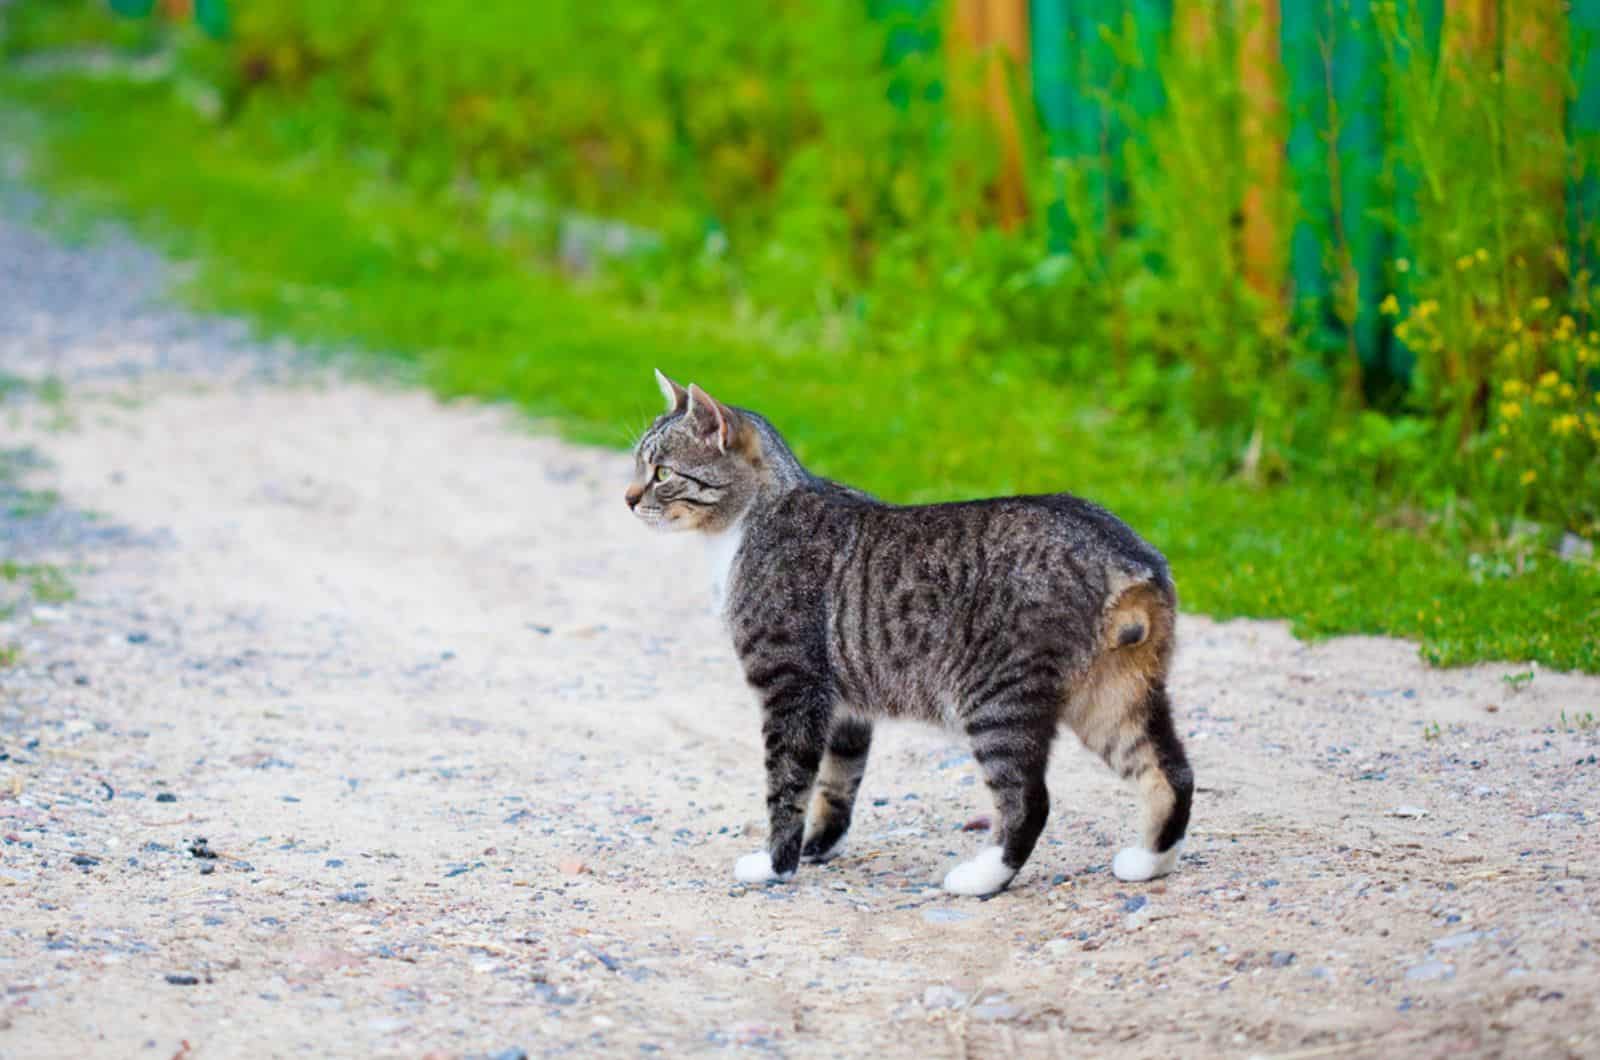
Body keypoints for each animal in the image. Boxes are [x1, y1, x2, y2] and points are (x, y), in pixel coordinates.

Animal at [630, 373, 1196, 896]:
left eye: (661, 472)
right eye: (637, 466)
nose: (628, 498)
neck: (750, 521)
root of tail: (1128, 556)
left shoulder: (792, 687)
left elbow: (787, 785)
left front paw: (775, 864)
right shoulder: (845, 708)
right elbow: (836, 784)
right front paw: (817, 847)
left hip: (996, 700)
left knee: (1029, 800)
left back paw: (983, 876)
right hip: (1114, 696)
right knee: (1170, 770)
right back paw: (1149, 861)